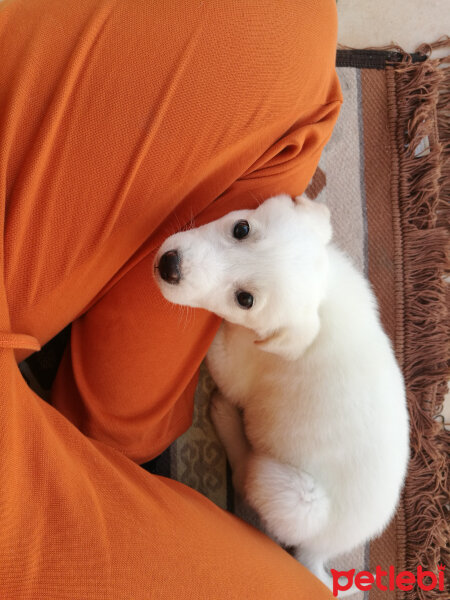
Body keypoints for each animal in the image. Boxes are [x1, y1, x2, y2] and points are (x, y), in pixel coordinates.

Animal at [153, 196, 410, 596]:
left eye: (245, 300)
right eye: (241, 228)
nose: (170, 266)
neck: (324, 298)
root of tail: (321, 553)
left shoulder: (238, 366)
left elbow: (222, 347)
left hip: (295, 495)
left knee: (245, 478)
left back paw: (226, 420)